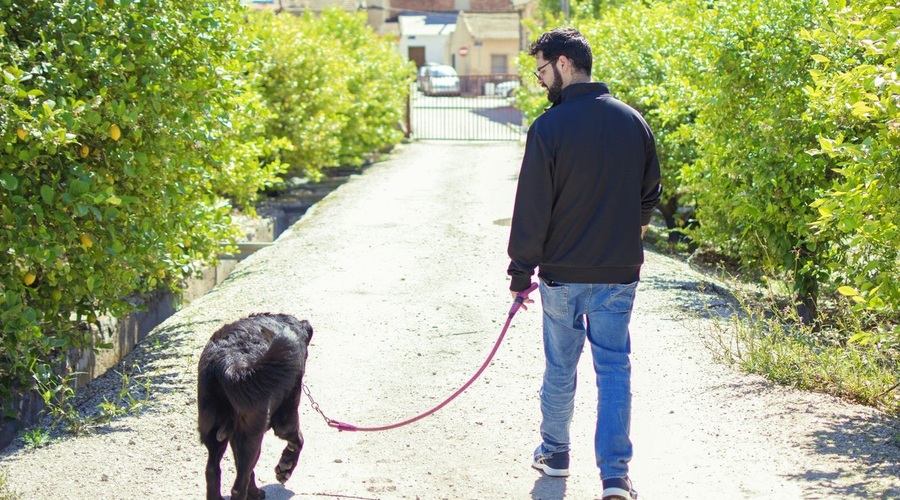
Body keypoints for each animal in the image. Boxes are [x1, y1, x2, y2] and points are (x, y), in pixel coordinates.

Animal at [197, 312, 312, 500]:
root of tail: (229, 362)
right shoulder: (286, 416)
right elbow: (298, 440)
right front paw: (286, 466)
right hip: (252, 437)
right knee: (238, 485)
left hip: (216, 434)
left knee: (213, 471)